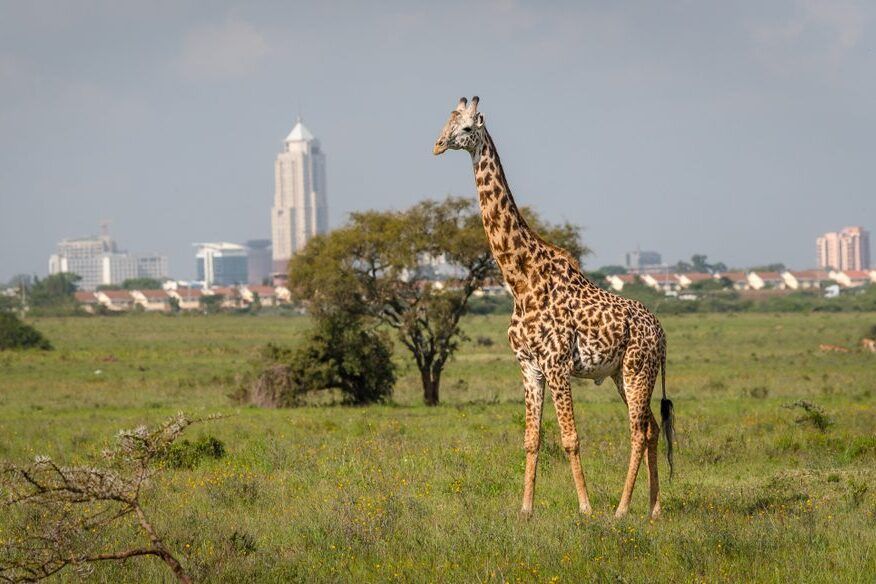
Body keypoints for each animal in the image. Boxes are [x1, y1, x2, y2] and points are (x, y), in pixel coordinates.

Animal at [433, 97, 675, 519]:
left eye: (465, 128)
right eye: (446, 123)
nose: (437, 145)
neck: (520, 280)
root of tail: (661, 333)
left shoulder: (557, 363)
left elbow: (570, 438)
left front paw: (585, 508)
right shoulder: (529, 365)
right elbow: (531, 439)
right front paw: (526, 510)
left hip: (637, 368)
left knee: (637, 431)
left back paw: (621, 509)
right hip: (620, 374)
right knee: (651, 429)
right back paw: (654, 509)